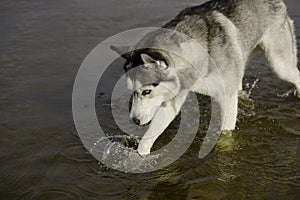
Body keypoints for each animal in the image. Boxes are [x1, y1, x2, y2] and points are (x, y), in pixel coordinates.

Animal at [110, 0, 300, 155]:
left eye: (147, 91)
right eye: (131, 91)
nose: (134, 120)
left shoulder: (226, 98)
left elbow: (225, 132)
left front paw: (224, 149)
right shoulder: (174, 98)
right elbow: (149, 137)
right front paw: (139, 158)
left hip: (279, 64)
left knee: (295, 75)